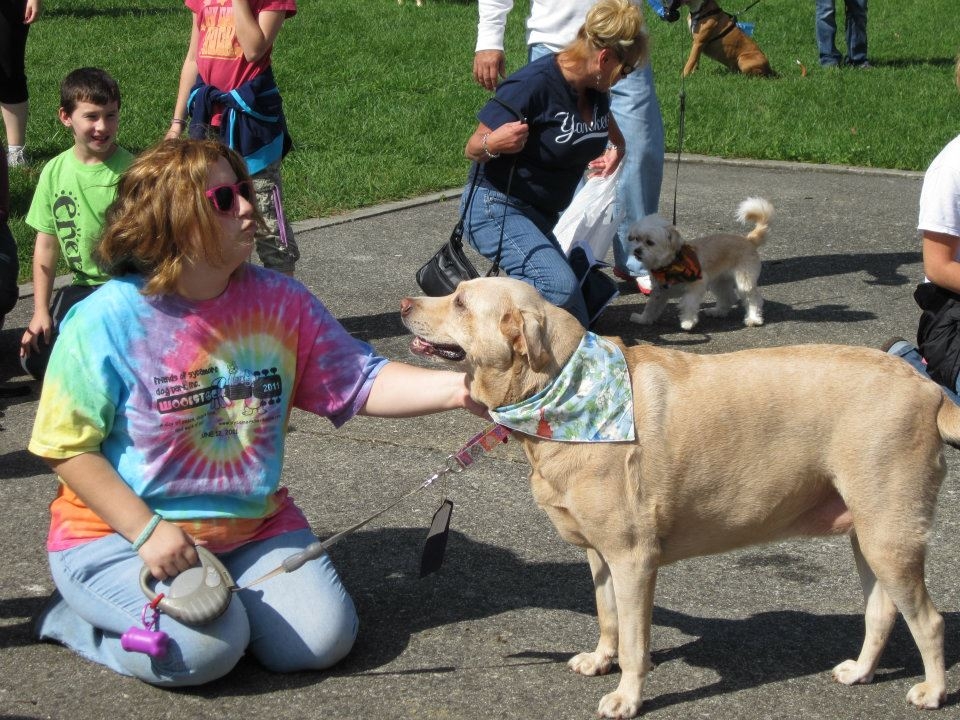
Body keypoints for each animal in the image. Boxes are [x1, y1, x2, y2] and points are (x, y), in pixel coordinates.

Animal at [632, 197, 772, 332]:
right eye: (637, 239)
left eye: (650, 242)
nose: (636, 251)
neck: (670, 265)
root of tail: (748, 240)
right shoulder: (659, 291)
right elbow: (651, 307)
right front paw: (643, 319)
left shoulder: (697, 284)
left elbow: (688, 303)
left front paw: (687, 322)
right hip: (719, 282)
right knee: (728, 297)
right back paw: (717, 311)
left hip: (744, 282)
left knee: (753, 299)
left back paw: (753, 318)